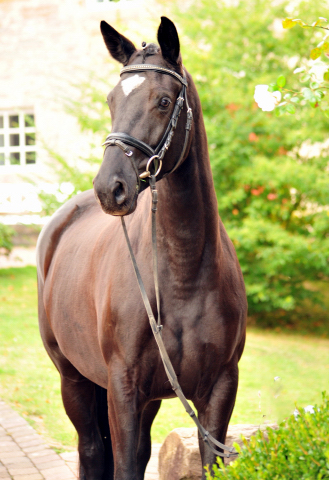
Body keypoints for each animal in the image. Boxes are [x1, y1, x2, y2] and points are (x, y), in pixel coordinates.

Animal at [36, 16, 246, 480]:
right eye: (111, 100)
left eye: (164, 101)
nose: (110, 188)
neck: (183, 274)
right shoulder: (123, 386)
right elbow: (124, 464)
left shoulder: (219, 390)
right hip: (73, 378)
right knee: (92, 451)